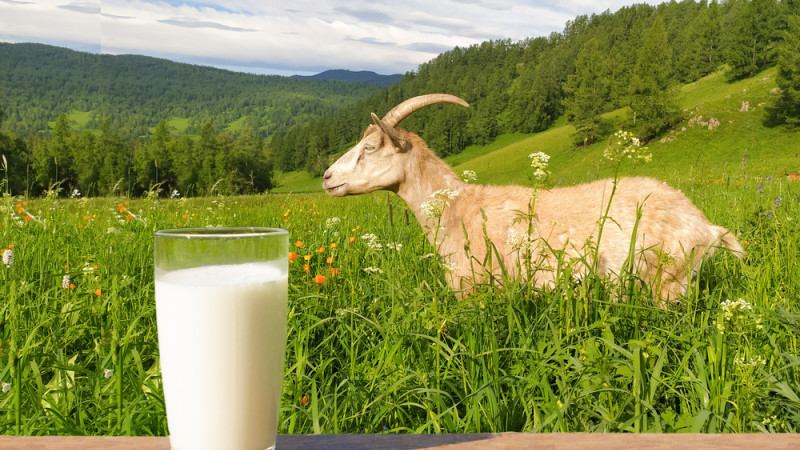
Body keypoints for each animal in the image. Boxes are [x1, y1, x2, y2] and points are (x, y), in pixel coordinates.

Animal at [322, 93, 748, 304]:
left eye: (371, 147)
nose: (327, 178)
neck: (458, 207)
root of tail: (707, 227)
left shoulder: (473, 288)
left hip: (666, 283)